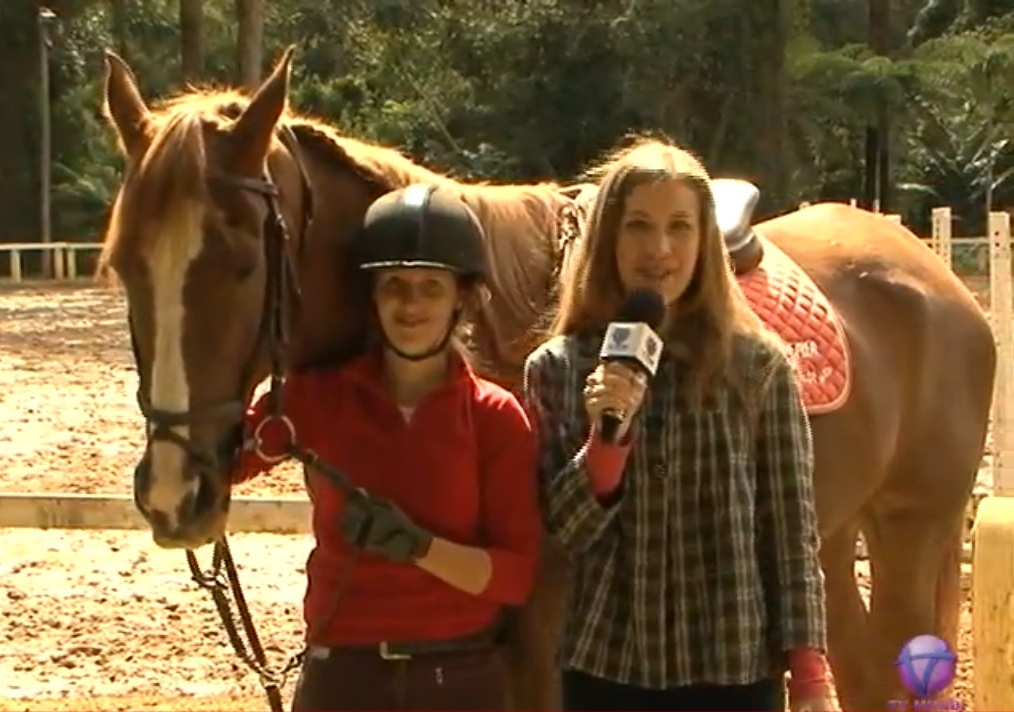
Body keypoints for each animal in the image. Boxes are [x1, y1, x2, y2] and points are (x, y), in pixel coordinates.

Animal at [100, 48, 989, 712]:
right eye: (123, 266)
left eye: (243, 262)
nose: (174, 493)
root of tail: (933, 279)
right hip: (825, 538)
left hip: (910, 532)